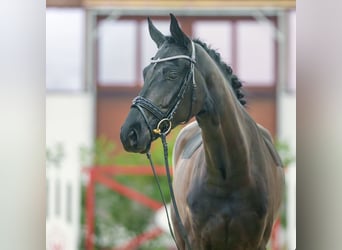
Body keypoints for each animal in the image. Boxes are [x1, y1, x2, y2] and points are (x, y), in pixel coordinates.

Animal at [120, 14, 284, 249]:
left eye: (172, 74)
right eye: (144, 73)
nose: (129, 133)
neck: (230, 175)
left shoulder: (255, 243)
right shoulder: (196, 240)